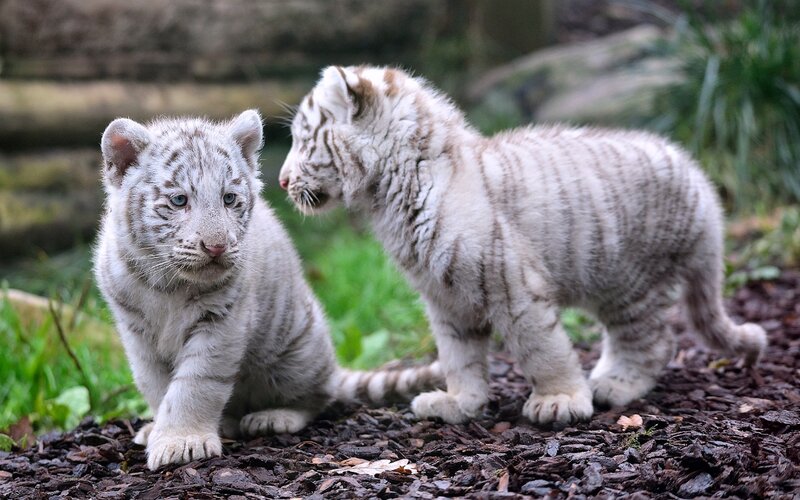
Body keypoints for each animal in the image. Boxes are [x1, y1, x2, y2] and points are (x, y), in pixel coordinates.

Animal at [93, 110, 442, 470]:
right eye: (179, 200)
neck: (169, 283)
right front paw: (163, 431)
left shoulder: (222, 323)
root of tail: (332, 369)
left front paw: (182, 441)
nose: (216, 247)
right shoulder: (137, 332)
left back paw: (273, 418)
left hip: (298, 356)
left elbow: (196, 385)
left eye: (229, 199)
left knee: (318, 399)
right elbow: (156, 384)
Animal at [278, 66, 767, 426]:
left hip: (631, 282)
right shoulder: (445, 299)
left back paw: (614, 385)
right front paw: (459, 403)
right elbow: (458, 356)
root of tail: (700, 182)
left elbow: (541, 348)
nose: (281, 181)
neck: (392, 194)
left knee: (655, 340)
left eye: (303, 140)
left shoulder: (512, 286)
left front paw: (560, 401)